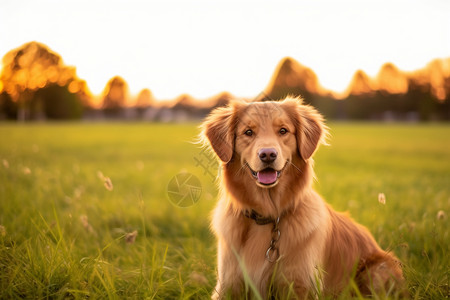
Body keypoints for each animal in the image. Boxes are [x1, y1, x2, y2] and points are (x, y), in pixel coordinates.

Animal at [200, 97, 404, 298]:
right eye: (248, 132)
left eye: (283, 130)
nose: (268, 154)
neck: (269, 215)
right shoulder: (228, 284)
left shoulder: (301, 285)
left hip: (378, 270)